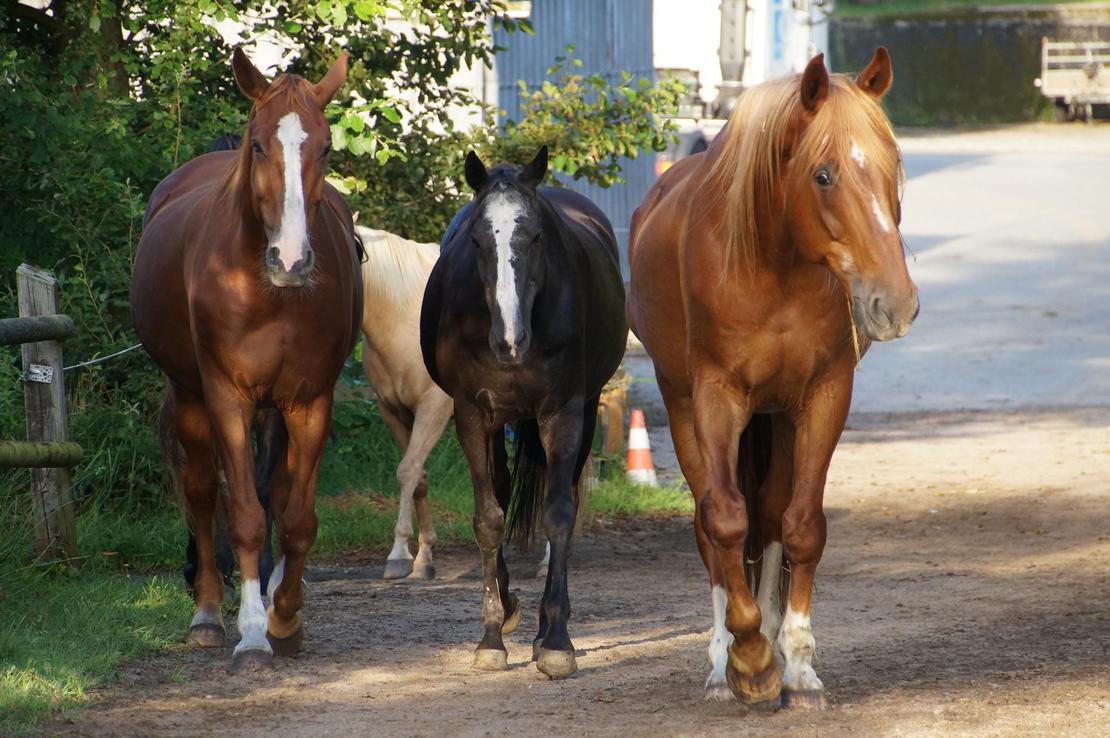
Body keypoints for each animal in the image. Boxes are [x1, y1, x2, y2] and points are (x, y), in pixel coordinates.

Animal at [132, 48, 363, 673]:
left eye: (325, 146)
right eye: (258, 144)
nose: (292, 260)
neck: (265, 291)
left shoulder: (310, 400)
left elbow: (298, 518)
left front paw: (286, 619)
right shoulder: (226, 397)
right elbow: (245, 516)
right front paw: (254, 632)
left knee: (275, 493)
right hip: (191, 397)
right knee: (201, 491)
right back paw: (209, 614)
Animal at [355, 226, 453, 580]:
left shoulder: (434, 407)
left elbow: (408, 470)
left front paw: (398, 554)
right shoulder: (393, 410)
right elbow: (418, 477)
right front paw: (424, 555)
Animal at [420, 147, 627, 678]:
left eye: (535, 235)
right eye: (476, 237)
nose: (510, 340)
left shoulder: (564, 413)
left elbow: (558, 516)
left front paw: (555, 640)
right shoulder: (473, 415)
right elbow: (488, 518)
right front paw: (491, 637)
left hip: (582, 413)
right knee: (500, 488)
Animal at [626, 49, 918, 710]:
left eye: (894, 166)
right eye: (824, 175)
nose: (895, 303)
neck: (774, 268)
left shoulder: (823, 397)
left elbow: (800, 526)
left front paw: (798, 666)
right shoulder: (717, 397)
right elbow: (724, 520)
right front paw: (750, 659)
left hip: (778, 419)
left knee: (771, 517)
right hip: (683, 408)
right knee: (712, 527)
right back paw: (723, 663)